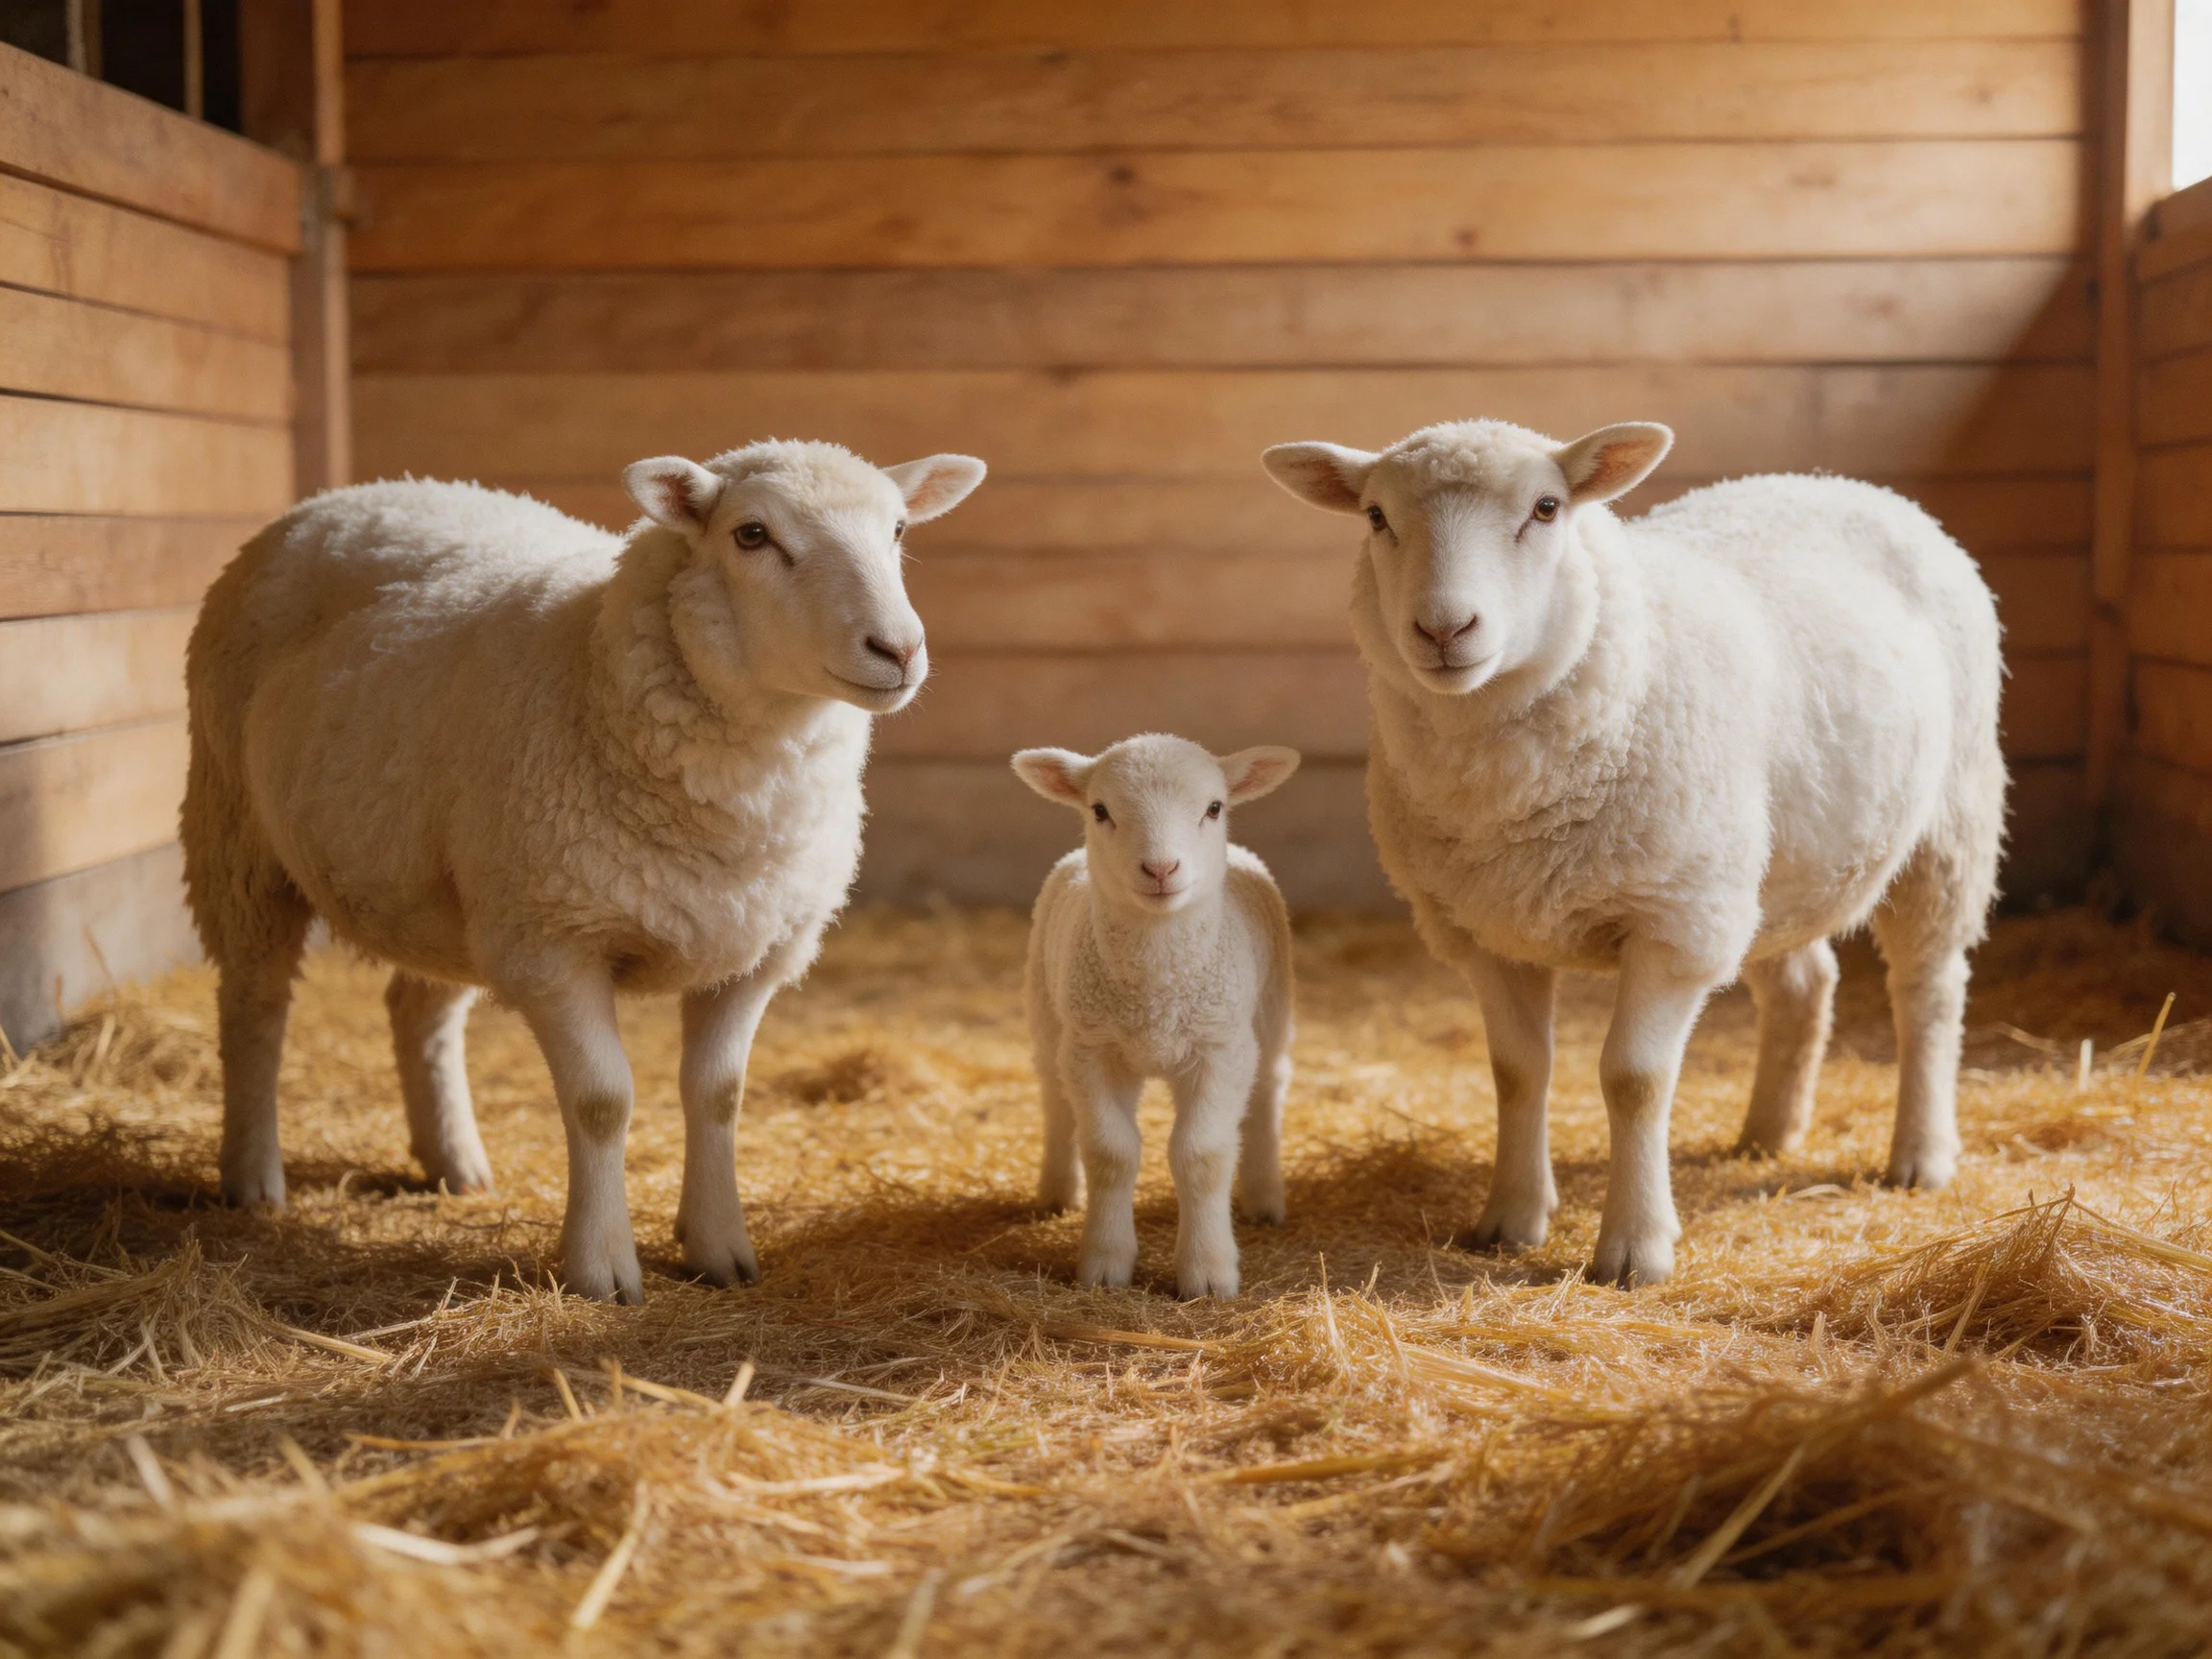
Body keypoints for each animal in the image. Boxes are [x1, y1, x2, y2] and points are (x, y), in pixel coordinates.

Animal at [183, 440, 986, 1303]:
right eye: (751, 534)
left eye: (898, 529)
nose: (898, 650)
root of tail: (348, 495)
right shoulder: (554, 941)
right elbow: (603, 1101)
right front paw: (602, 1269)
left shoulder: (757, 949)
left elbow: (720, 1096)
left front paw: (719, 1246)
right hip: (238, 833)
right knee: (255, 1005)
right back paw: (252, 1176)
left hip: (445, 885)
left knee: (419, 1012)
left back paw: (454, 1163)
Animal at [1012, 734, 1301, 1299]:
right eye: (1100, 810)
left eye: (1214, 808)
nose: (1161, 869)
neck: (1156, 989)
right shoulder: (1092, 1049)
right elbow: (1110, 1153)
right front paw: (1105, 1264)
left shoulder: (1219, 1048)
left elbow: (1202, 1155)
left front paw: (1207, 1272)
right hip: (1048, 1012)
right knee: (1055, 1100)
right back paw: (1056, 1192)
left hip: (1269, 1012)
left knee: (1268, 1093)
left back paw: (1265, 1198)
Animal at [1261, 420, 2005, 1287]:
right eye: (1376, 516)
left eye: (1547, 508)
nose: (1444, 630)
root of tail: (1839, 483)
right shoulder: (1487, 932)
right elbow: (1518, 1071)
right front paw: (1510, 1218)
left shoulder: (1672, 924)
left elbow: (1634, 1080)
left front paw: (1634, 1247)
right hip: (1766, 864)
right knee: (1804, 982)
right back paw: (1768, 1132)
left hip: (1946, 822)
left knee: (1929, 990)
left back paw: (1920, 1154)